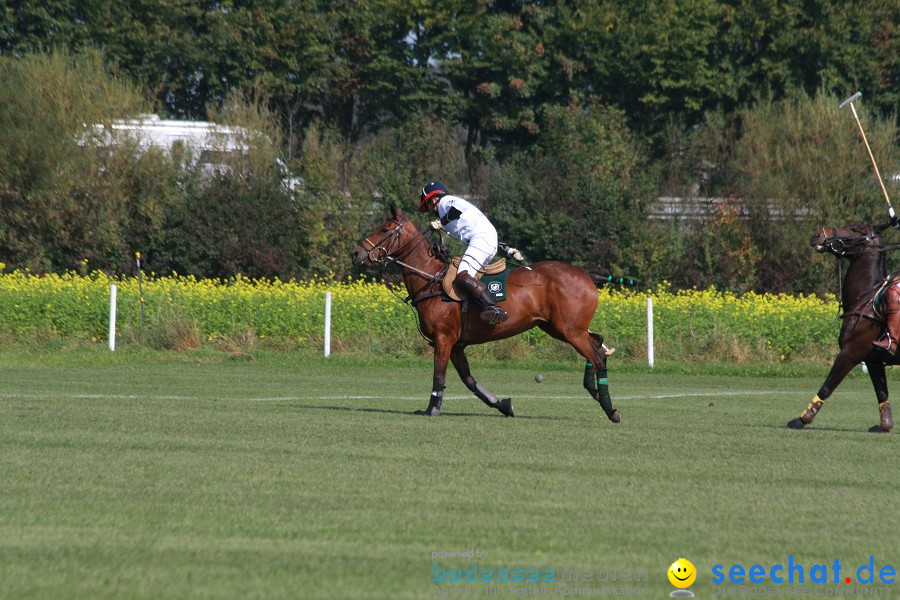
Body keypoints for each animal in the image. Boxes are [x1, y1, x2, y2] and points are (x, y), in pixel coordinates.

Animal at [348, 206, 624, 422]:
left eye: (385, 229)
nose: (356, 253)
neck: (431, 278)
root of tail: (588, 275)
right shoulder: (456, 344)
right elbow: (469, 381)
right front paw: (503, 405)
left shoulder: (443, 339)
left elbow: (439, 375)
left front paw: (431, 410)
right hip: (558, 328)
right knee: (597, 343)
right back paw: (596, 393)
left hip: (570, 329)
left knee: (598, 356)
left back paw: (611, 410)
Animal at [788, 220, 892, 432]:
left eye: (854, 228)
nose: (816, 235)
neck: (866, 300)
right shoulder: (873, 360)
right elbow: (882, 392)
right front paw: (884, 426)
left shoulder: (850, 353)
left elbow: (827, 387)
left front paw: (801, 420)